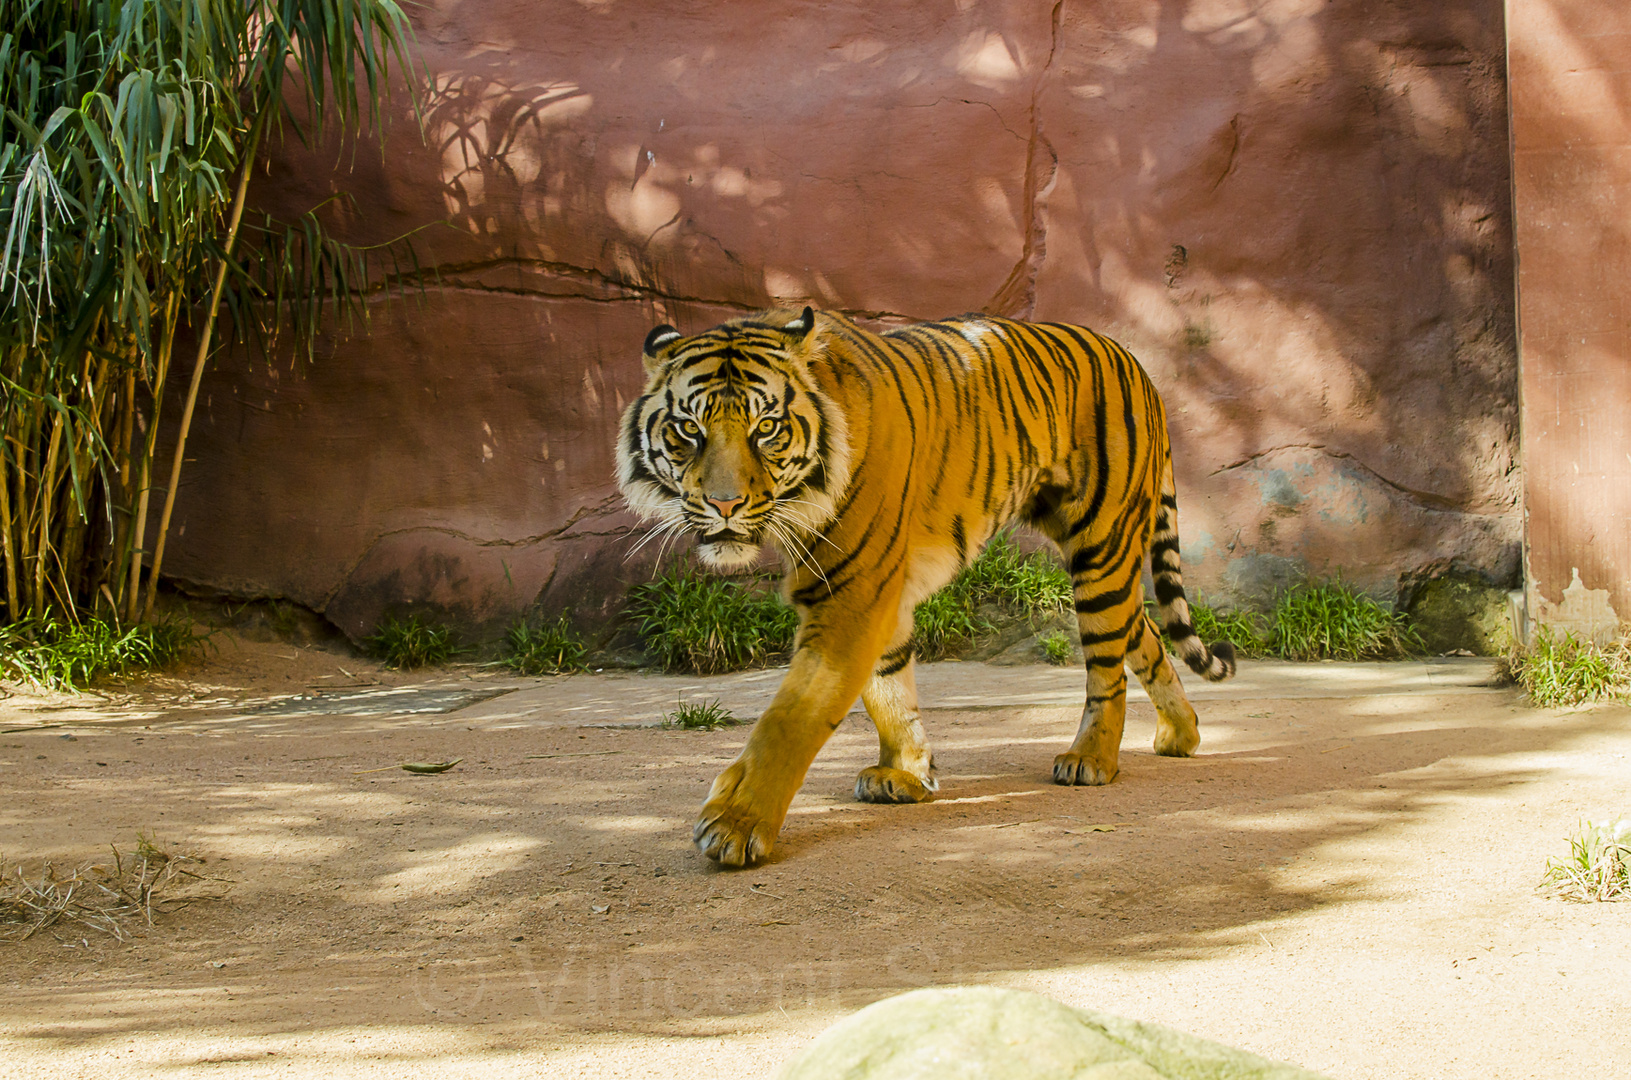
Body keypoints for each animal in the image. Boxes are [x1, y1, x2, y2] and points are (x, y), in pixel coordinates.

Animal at [616, 306, 1226, 874]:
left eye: (765, 427)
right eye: (689, 429)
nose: (724, 504)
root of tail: (1137, 364)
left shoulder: (854, 591)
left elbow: (792, 717)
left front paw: (737, 824)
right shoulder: (877, 591)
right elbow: (888, 689)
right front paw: (906, 773)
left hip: (1101, 545)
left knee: (1108, 665)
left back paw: (1092, 759)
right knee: (1143, 634)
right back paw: (1182, 733)